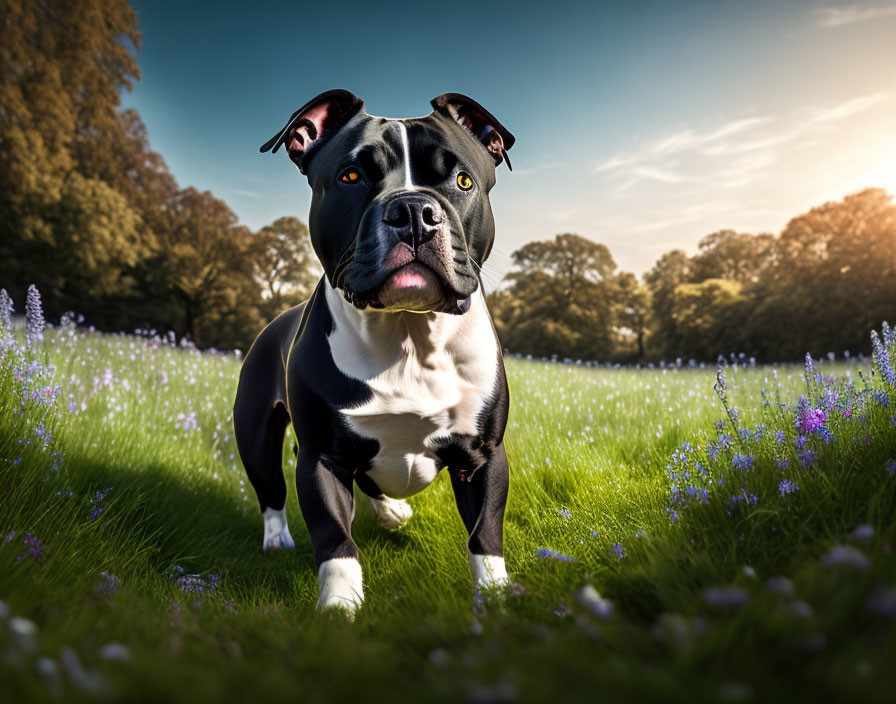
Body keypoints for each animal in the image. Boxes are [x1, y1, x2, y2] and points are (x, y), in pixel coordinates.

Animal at [234, 89, 516, 616]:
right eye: (351, 177)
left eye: (463, 180)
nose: (413, 212)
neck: (409, 335)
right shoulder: (321, 459)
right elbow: (335, 540)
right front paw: (339, 607)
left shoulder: (484, 455)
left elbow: (485, 532)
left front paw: (496, 596)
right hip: (256, 431)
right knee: (271, 489)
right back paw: (276, 539)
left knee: (371, 477)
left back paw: (392, 511)